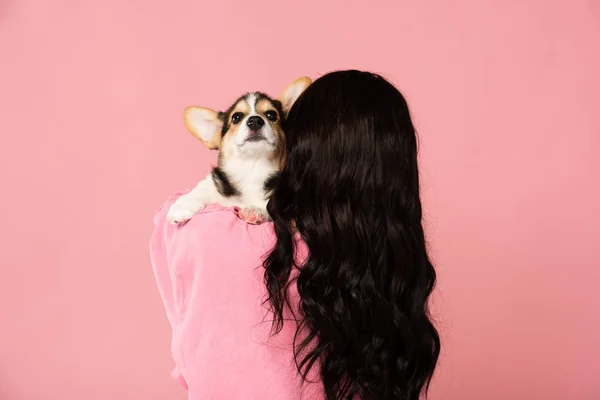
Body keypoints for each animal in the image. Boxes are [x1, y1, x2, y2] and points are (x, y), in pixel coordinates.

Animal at [166, 76, 312, 225]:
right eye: (236, 117)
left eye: (271, 115)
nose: (255, 121)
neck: (252, 168)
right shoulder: (214, 185)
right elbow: (199, 190)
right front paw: (180, 207)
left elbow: (269, 205)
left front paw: (255, 209)